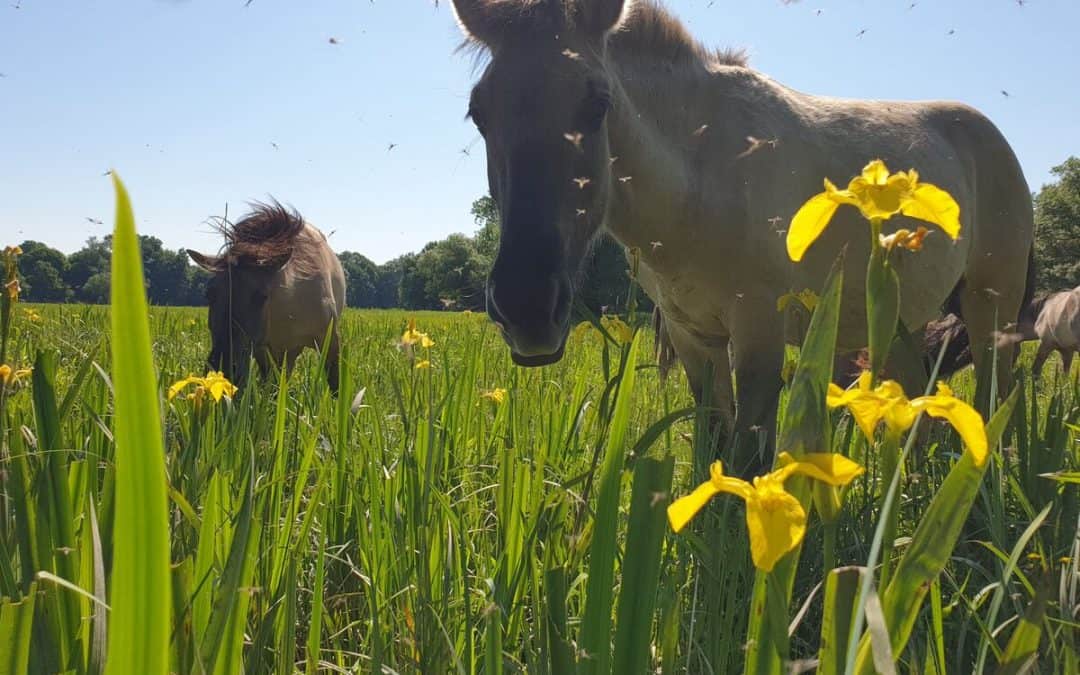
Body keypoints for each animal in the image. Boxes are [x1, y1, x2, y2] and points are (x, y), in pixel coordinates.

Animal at [185, 200, 345, 388]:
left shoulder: (330, 341)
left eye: (262, 297)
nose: (223, 370)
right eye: (209, 294)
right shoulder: (265, 351)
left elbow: (335, 385)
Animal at [451, 0, 1032, 473]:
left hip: (990, 311)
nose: (525, 307)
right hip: (897, 324)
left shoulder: (759, 329)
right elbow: (715, 441)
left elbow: (750, 458)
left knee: (991, 398)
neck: (703, 179)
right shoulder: (693, 337)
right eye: (478, 113)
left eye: (598, 104)